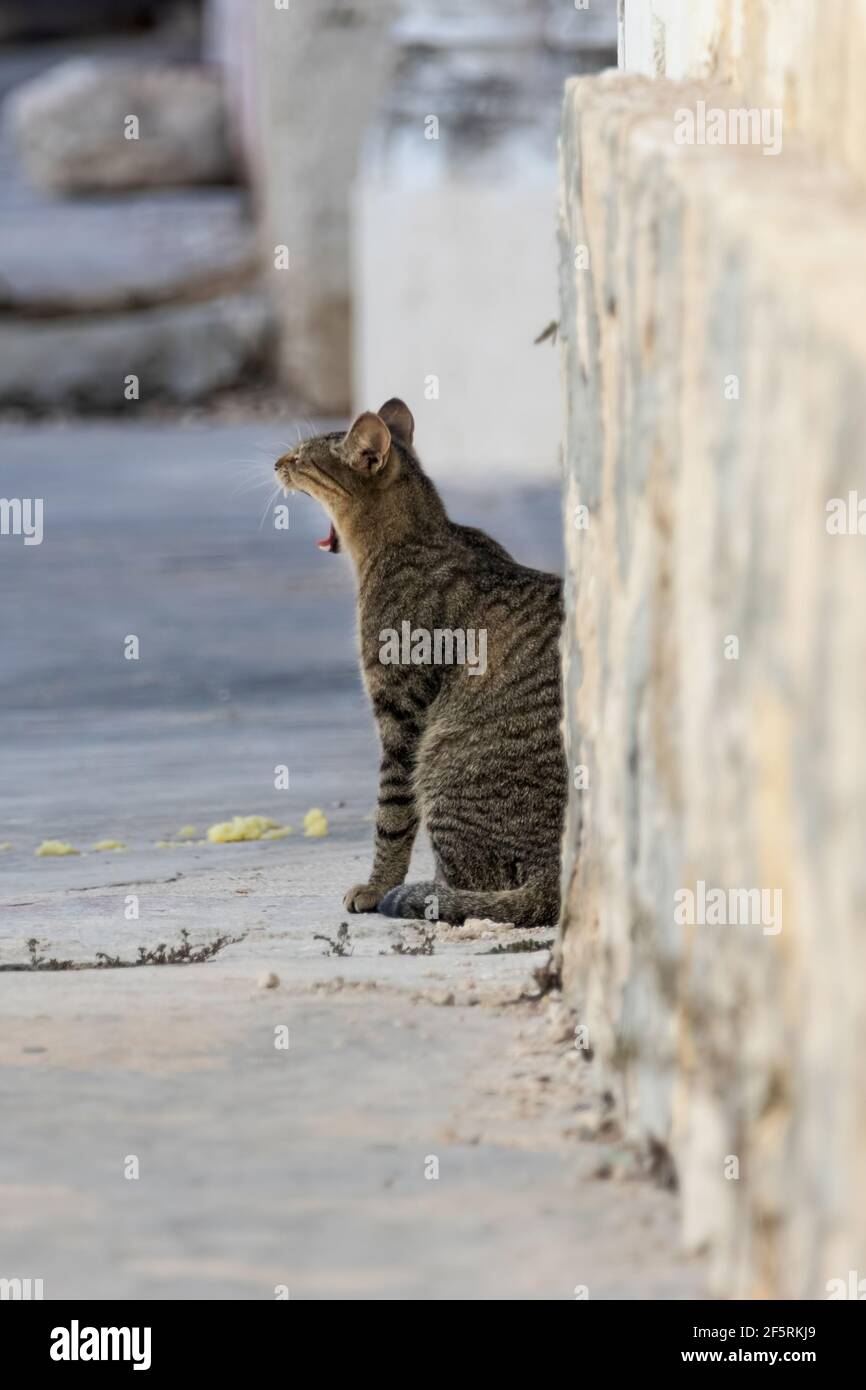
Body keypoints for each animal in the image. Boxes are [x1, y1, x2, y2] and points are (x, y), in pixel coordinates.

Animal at [273, 397, 567, 928]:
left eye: (302, 457)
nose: (276, 463)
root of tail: (558, 876)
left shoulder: (400, 712)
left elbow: (391, 816)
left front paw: (375, 887)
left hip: (440, 757)